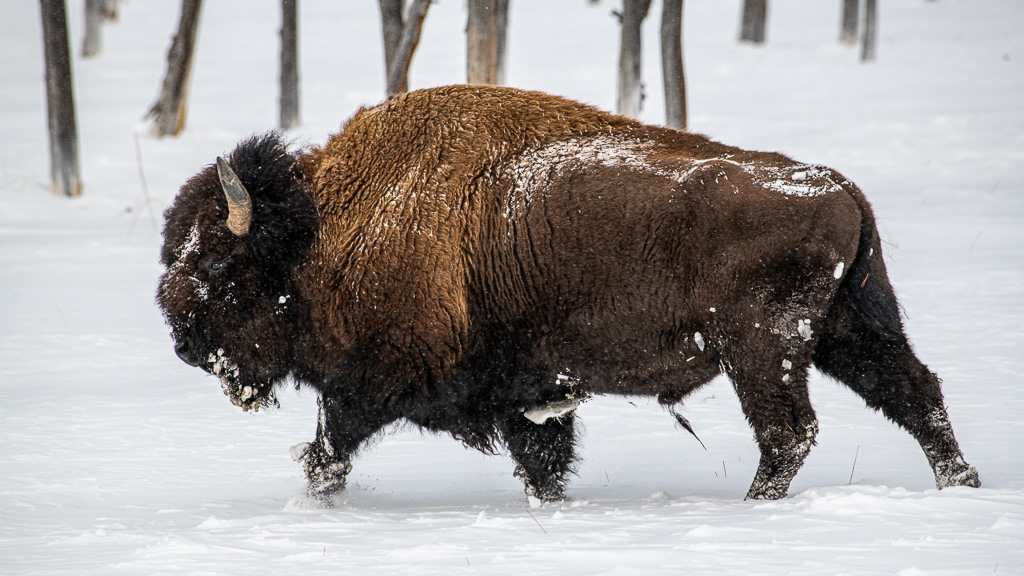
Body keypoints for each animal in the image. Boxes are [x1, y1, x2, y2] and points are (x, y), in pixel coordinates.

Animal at [155, 83, 978, 500]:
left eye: (220, 267)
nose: (183, 340)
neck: (325, 227)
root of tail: (840, 188)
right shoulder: (532, 392)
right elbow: (542, 457)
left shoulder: (377, 380)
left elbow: (330, 448)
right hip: (850, 326)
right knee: (915, 393)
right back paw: (960, 485)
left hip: (761, 347)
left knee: (789, 432)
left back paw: (755, 507)